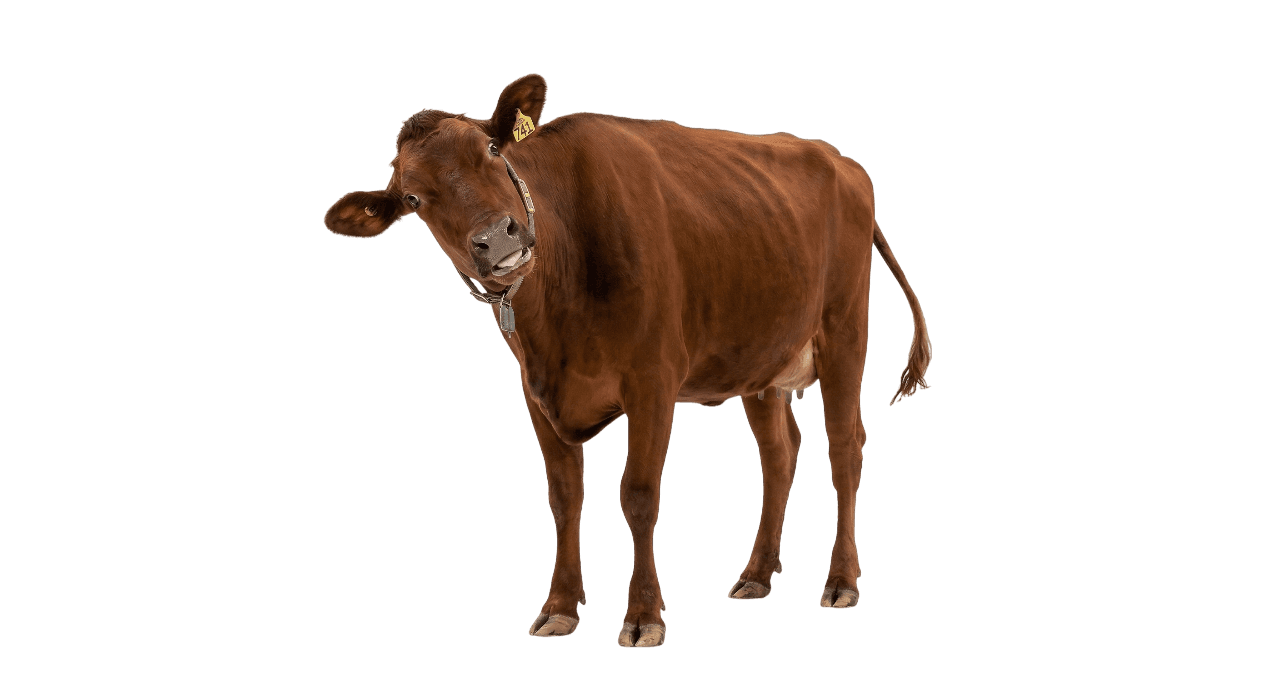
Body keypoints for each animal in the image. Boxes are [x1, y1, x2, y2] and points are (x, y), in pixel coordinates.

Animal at [323, 74, 932, 648]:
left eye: (492, 150)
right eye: (413, 200)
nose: (496, 238)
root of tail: (839, 159)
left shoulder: (652, 380)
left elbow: (638, 496)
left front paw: (644, 616)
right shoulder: (536, 395)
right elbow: (564, 499)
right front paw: (559, 607)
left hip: (844, 331)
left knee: (845, 449)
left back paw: (842, 581)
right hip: (759, 359)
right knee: (780, 455)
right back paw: (757, 573)